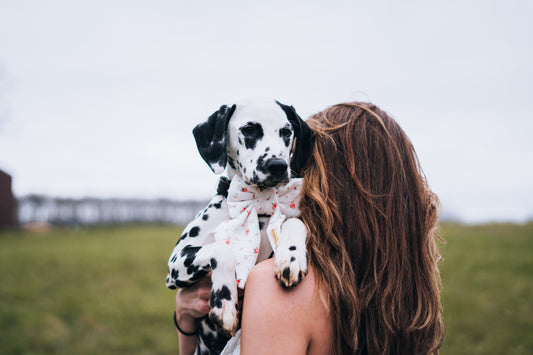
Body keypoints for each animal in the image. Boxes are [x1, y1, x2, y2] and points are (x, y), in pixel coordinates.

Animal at [166, 98, 312, 355]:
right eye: (249, 129)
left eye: (287, 132)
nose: (277, 165)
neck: (258, 204)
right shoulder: (176, 263)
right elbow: (222, 250)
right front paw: (224, 303)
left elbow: (294, 221)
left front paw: (292, 257)